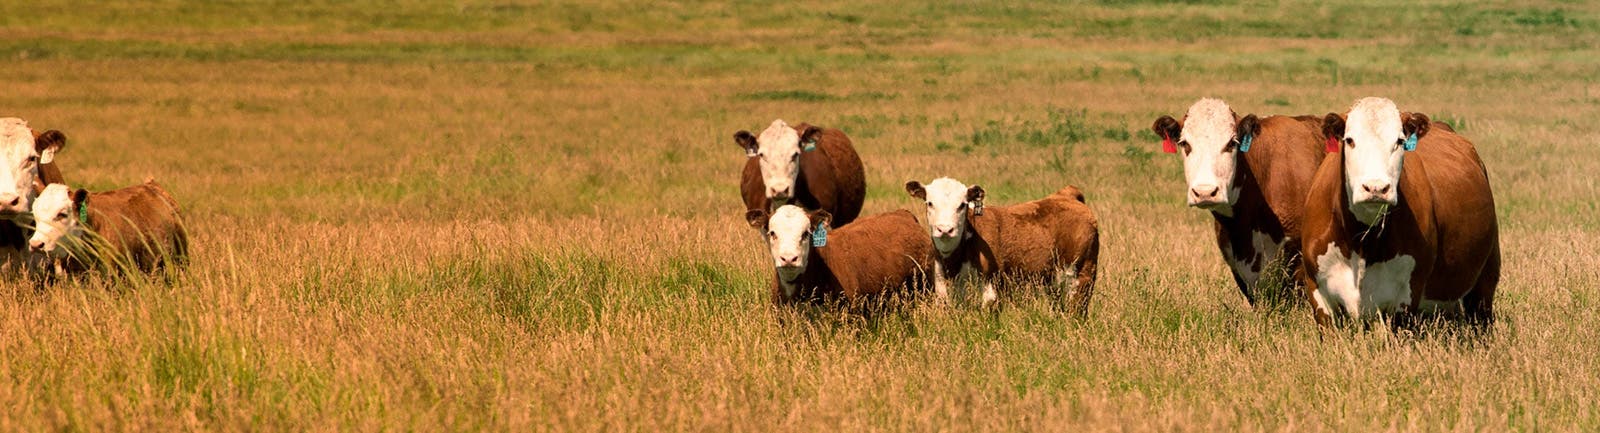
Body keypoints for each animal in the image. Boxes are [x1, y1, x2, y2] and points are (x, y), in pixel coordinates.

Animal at [904, 178, 1100, 315]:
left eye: (962, 205)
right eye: (930, 203)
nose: (945, 229)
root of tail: (1066, 195)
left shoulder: (991, 289)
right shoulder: (942, 289)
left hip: (1083, 276)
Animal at [1299, 97, 1499, 329]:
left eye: (1400, 141)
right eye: (1349, 140)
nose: (1376, 188)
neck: (1361, 242)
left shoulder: (1406, 298)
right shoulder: (1318, 293)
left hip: (1485, 281)